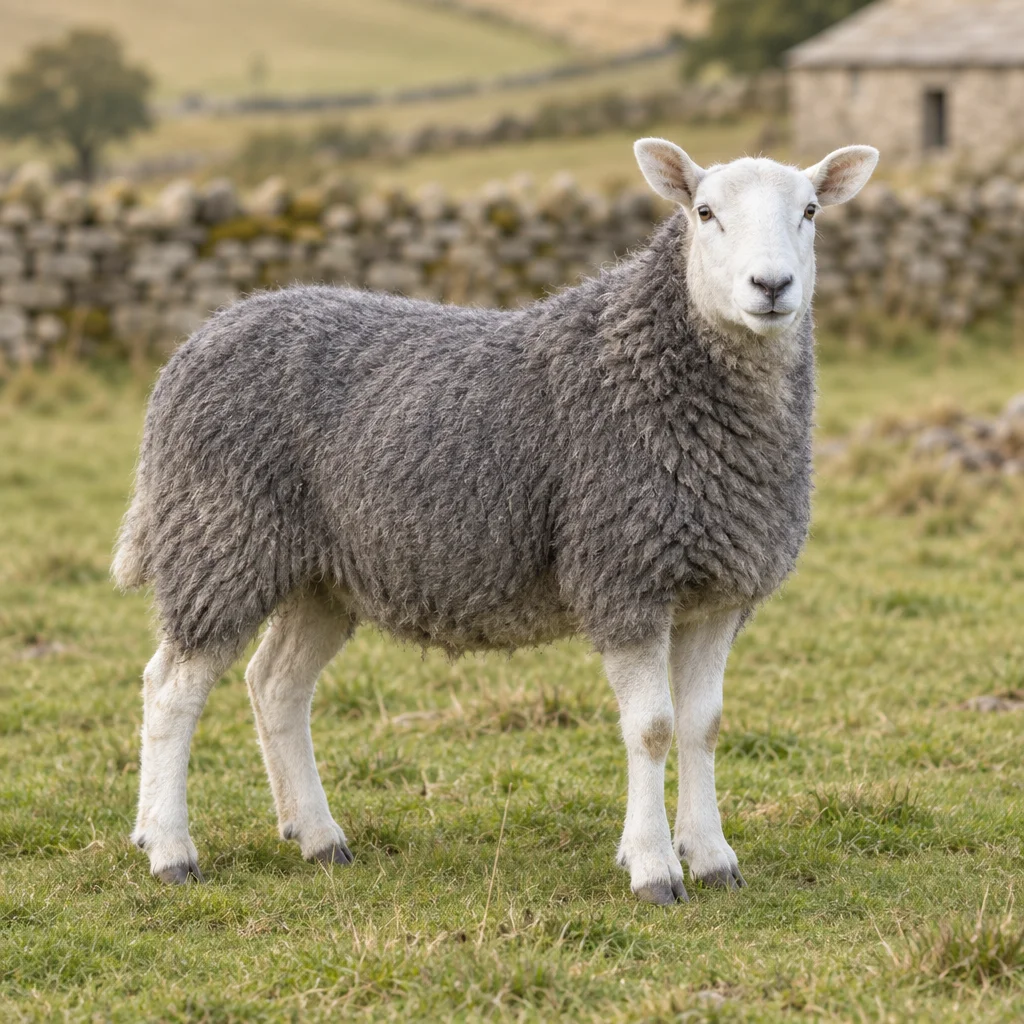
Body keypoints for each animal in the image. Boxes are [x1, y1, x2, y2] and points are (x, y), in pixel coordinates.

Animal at [114, 138, 878, 903]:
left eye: (811, 211)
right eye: (705, 212)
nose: (771, 285)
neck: (652, 365)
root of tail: (201, 338)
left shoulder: (719, 590)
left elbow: (703, 727)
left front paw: (713, 857)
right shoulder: (622, 573)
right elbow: (653, 730)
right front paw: (654, 867)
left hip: (321, 575)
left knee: (275, 685)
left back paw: (318, 837)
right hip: (220, 537)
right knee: (171, 690)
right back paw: (169, 848)